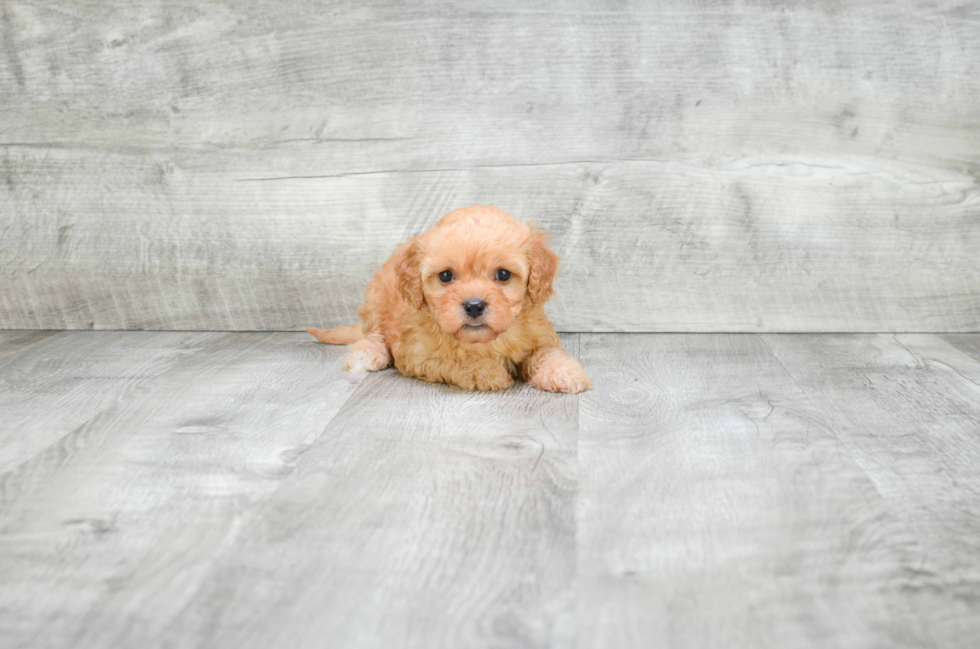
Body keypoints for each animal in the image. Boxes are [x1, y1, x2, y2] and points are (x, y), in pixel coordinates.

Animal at [310, 205, 592, 392]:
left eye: (503, 274)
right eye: (445, 276)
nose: (474, 306)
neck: (485, 341)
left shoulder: (541, 336)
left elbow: (546, 353)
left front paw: (563, 372)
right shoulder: (419, 354)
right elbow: (456, 360)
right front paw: (488, 372)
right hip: (376, 298)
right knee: (374, 335)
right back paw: (366, 355)